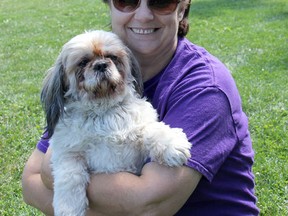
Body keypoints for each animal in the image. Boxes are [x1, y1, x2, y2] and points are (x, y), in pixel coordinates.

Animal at [40, 30, 192, 216]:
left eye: (112, 56)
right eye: (83, 62)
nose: (100, 65)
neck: (103, 111)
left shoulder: (139, 136)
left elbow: (152, 130)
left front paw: (172, 145)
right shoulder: (68, 153)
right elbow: (70, 175)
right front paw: (68, 207)